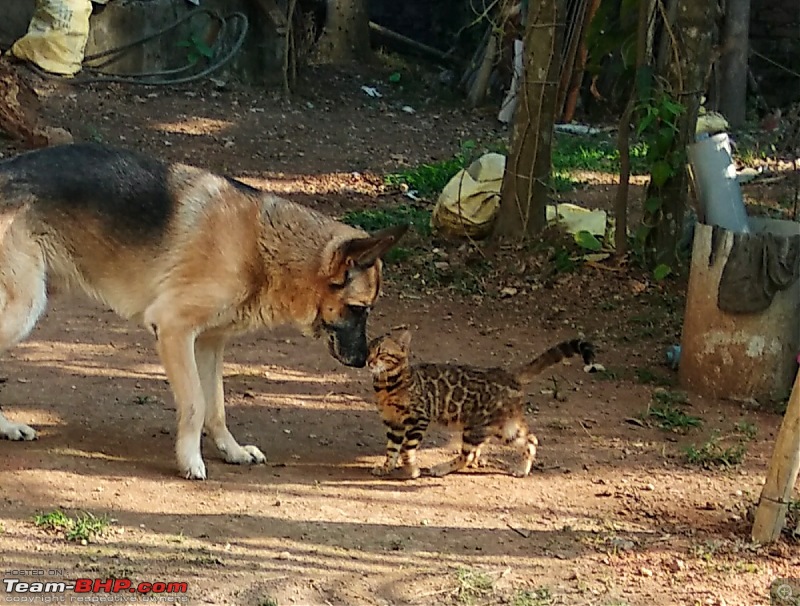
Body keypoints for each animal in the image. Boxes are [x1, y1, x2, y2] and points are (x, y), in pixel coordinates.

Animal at [0, 142, 406, 480]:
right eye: (359, 309)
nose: (362, 360)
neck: (261, 248)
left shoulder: (210, 344)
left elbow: (217, 407)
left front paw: (232, 451)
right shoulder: (174, 330)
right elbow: (196, 403)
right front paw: (190, 460)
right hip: (23, 309)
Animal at [366, 332, 596, 480]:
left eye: (381, 352)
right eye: (368, 350)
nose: (368, 361)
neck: (387, 385)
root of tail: (507, 374)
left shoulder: (418, 418)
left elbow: (406, 449)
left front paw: (412, 471)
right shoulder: (393, 423)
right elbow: (392, 449)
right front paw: (386, 467)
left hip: (476, 427)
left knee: (467, 455)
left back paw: (441, 468)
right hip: (502, 427)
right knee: (530, 439)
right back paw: (522, 469)